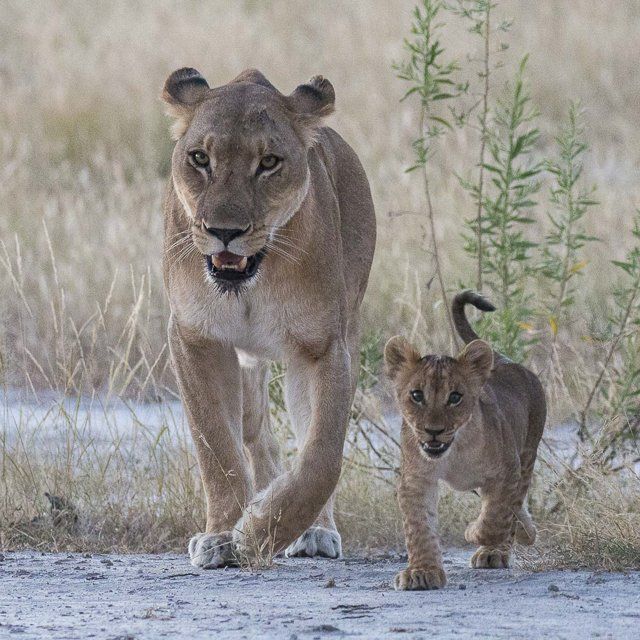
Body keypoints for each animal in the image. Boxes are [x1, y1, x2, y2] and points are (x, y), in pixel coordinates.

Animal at [161, 68, 376, 568]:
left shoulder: (322, 348)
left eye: (270, 162)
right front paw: (222, 535)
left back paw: (314, 530)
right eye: (200, 158)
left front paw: (261, 532)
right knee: (255, 431)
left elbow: (322, 457)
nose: (224, 231)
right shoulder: (195, 339)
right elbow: (216, 446)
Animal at [384, 291, 546, 590]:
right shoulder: (416, 480)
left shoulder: (508, 471)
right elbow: (419, 527)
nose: (433, 431)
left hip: (528, 453)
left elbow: (495, 517)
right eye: (417, 395)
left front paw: (473, 533)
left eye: (455, 397)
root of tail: (505, 360)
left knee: (514, 504)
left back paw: (499, 550)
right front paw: (422, 572)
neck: (454, 451)